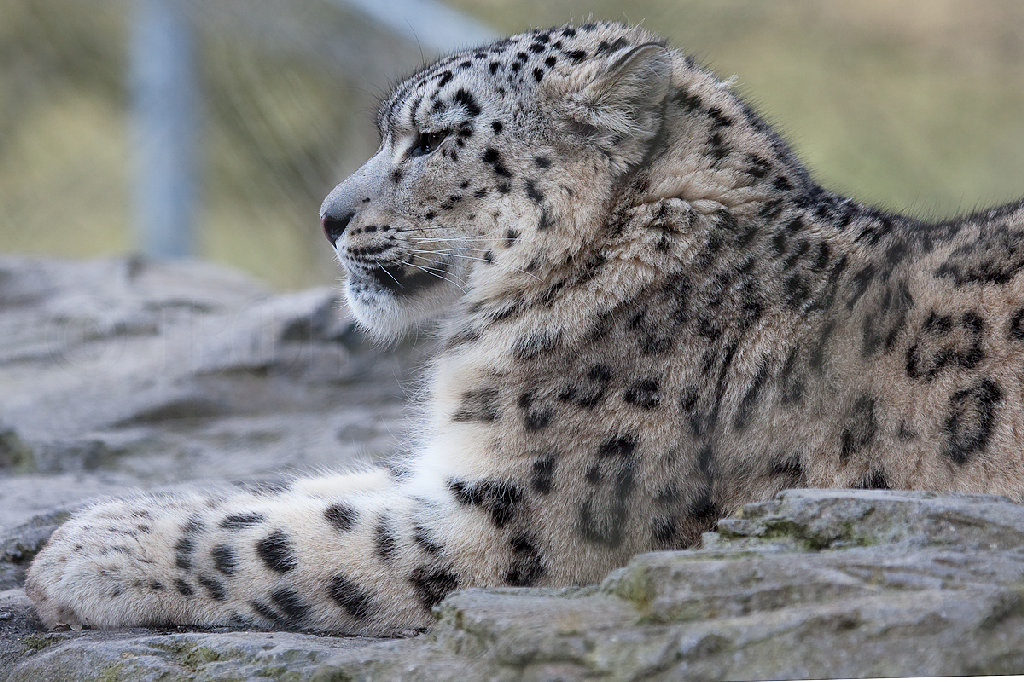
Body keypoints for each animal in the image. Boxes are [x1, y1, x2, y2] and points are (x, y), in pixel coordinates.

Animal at [26, 22, 1024, 635]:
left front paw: (83, 554)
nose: (329, 216)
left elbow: (295, 538)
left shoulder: (513, 523)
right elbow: (310, 490)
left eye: (430, 140)